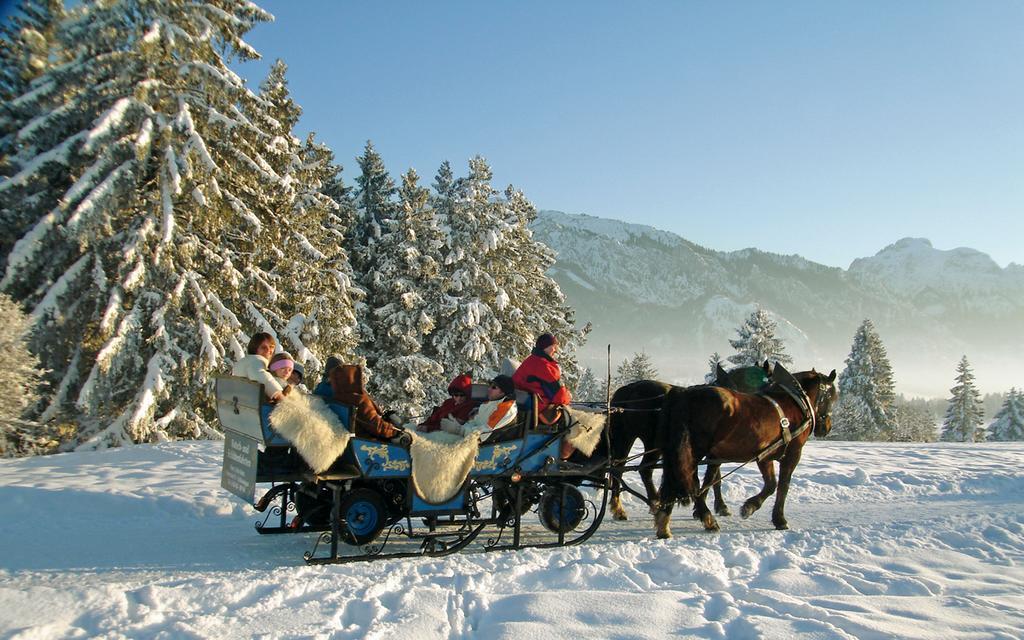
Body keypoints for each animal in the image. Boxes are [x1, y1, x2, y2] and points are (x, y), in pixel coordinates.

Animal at [651, 366, 835, 536]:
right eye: (831, 397)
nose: (826, 428)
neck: (795, 403)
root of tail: (682, 394)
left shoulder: (765, 455)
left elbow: (770, 484)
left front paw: (750, 506)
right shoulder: (792, 454)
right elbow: (783, 486)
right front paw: (779, 519)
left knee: (675, 482)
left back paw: (664, 522)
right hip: (693, 450)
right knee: (689, 482)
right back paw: (705, 519)